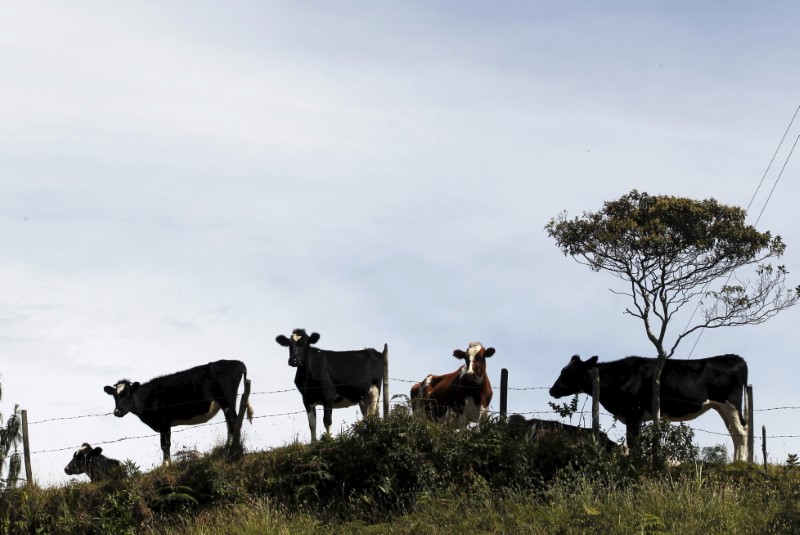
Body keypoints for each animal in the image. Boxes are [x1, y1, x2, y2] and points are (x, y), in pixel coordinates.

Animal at [103, 360, 253, 464]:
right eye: (114, 396)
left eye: (128, 394)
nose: (117, 411)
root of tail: (238, 362)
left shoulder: (164, 421)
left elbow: (165, 444)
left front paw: (165, 465)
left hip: (227, 399)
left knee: (232, 420)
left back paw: (228, 447)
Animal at [552, 354, 752, 462]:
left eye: (569, 372)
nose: (552, 390)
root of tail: (737, 359)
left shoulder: (633, 413)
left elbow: (633, 442)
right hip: (721, 407)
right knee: (734, 432)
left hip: (730, 404)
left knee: (741, 431)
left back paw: (740, 462)